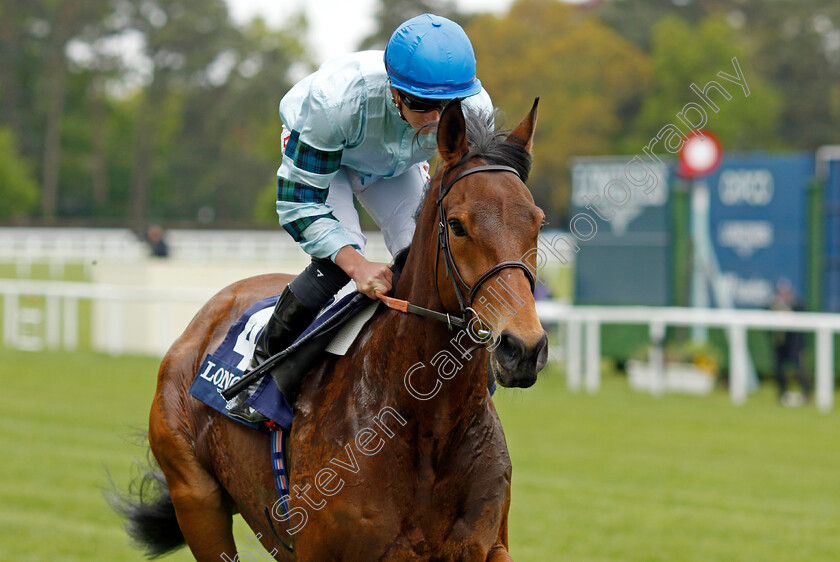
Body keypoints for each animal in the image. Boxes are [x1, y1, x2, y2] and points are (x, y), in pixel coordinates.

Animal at [120, 98, 552, 556]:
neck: (426, 422)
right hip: (196, 499)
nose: (522, 348)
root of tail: (205, 318)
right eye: (457, 225)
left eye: (538, 222)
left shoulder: (485, 544)